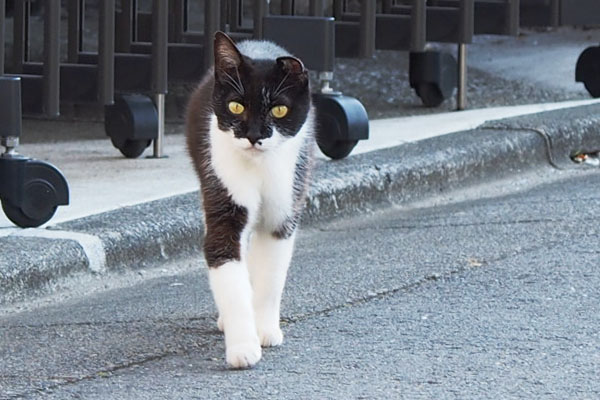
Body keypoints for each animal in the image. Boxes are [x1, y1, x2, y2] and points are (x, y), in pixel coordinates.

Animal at [185, 32, 316, 368]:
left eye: (279, 110)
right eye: (235, 106)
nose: (254, 135)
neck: (259, 169)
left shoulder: (284, 207)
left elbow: (270, 277)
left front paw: (265, 330)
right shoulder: (222, 190)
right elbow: (228, 269)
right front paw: (243, 347)